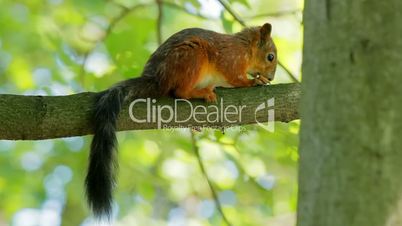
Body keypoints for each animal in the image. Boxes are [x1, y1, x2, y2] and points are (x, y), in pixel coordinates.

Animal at [86, 22, 278, 218]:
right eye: (270, 57)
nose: (271, 77)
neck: (244, 46)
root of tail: (156, 80)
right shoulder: (231, 59)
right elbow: (235, 78)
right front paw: (253, 81)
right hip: (192, 56)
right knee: (180, 92)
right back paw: (200, 92)